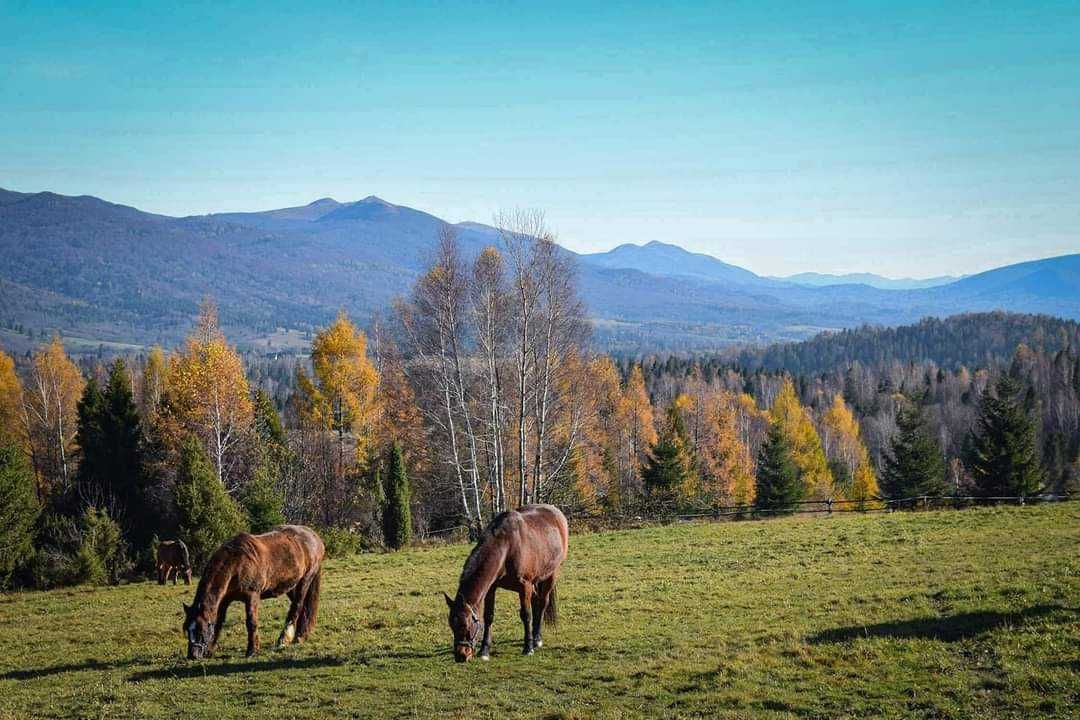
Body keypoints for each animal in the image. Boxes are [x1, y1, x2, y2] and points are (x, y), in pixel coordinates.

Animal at [183, 524, 324, 660]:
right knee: (303, 608)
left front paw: (252, 650)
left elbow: (251, 622)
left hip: (305, 580)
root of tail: (315, 537)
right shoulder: (224, 600)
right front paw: (210, 650)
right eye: (187, 629)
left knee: (297, 606)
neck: (236, 563)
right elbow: (218, 623)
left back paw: (285, 639)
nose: (192, 655)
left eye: (201, 630)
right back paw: (301, 634)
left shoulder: (252, 596)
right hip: (291, 585)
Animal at [442, 500, 570, 664]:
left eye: (466, 624)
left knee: (542, 603)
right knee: (536, 602)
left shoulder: (524, 586)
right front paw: (484, 650)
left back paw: (536, 639)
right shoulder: (491, 588)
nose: (460, 655)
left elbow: (526, 615)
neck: (506, 547)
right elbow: (489, 616)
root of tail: (557, 513)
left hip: (551, 575)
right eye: (451, 625)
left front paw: (528, 648)